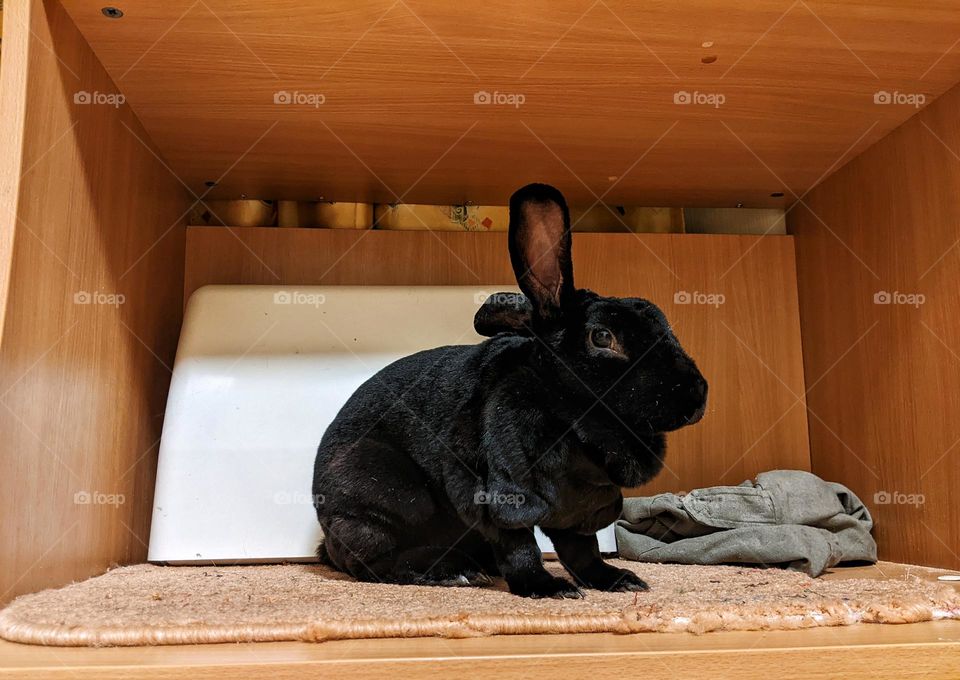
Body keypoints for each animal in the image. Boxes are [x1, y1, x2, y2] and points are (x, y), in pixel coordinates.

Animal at [314, 183, 704, 596]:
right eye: (602, 337)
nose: (698, 395)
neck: (570, 414)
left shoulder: (581, 505)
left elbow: (583, 550)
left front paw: (617, 580)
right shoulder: (502, 493)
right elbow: (521, 546)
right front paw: (548, 588)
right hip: (387, 496)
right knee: (368, 561)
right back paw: (452, 571)